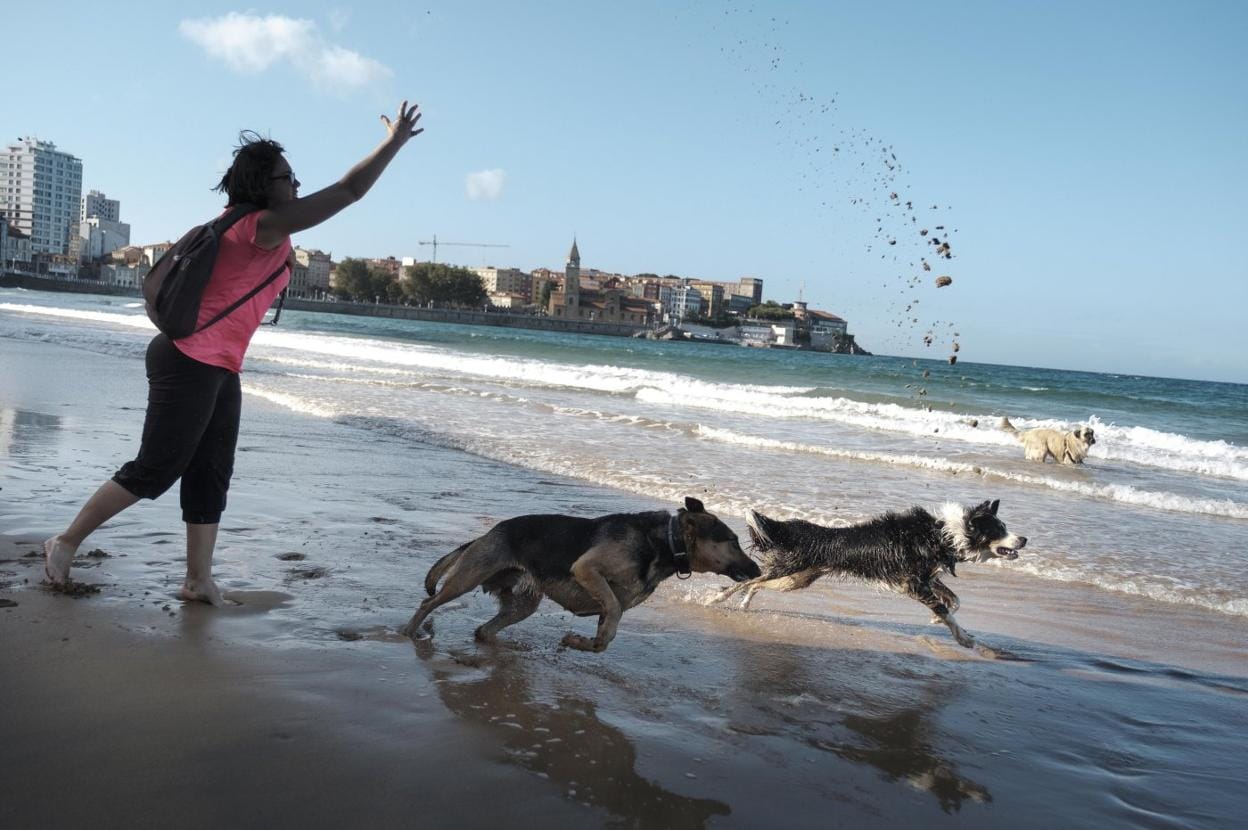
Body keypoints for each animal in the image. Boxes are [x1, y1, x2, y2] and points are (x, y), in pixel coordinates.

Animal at [399, 494, 753, 649]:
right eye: (733, 541)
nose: (756, 568)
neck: (666, 540)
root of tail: (486, 535)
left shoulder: (613, 603)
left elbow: (606, 634)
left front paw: (580, 642)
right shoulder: (588, 570)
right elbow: (611, 613)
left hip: (523, 603)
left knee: (484, 630)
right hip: (466, 578)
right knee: (428, 602)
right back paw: (408, 631)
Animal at [708, 499, 1028, 649]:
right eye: (999, 530)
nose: (1024, 539)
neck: (944, 534)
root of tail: (809, 533)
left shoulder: (926, 578)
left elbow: (954, 601)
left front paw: (939, 619)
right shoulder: (913, 584)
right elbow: (948, 611)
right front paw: (963, 639)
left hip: (797, 578)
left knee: (758, 583)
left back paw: (744, 604)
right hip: (791, 569)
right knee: (752, 579)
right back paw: (716, 599)